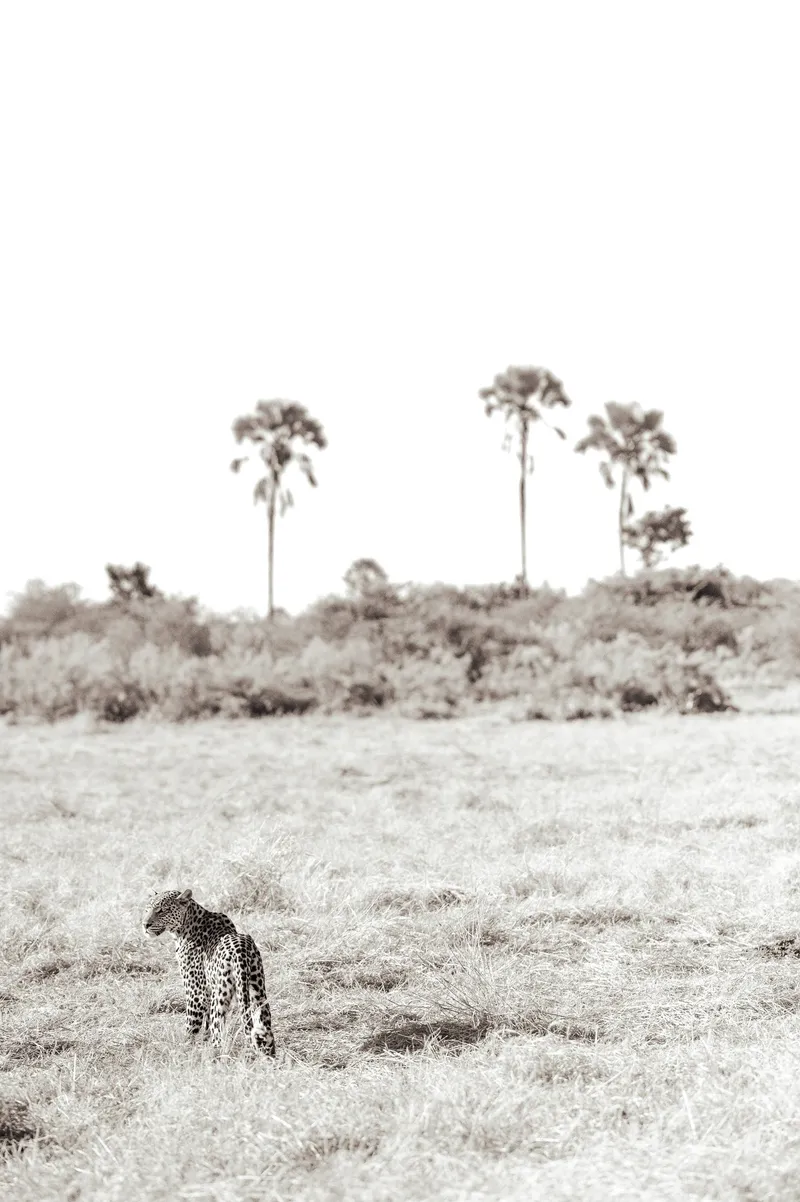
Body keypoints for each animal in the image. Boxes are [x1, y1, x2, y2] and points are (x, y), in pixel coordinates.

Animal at [143, 888, 275, 1056]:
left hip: (220, 998)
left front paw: (183, 1049)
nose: (145, 924)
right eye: (147, 909)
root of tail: (239, 951)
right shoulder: (208, 991)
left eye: (161, 910)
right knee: (265, 1029)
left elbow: (191, 1027)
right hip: (258, 991)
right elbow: (205, 1027)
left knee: (218, 1033)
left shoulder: (196, 993)